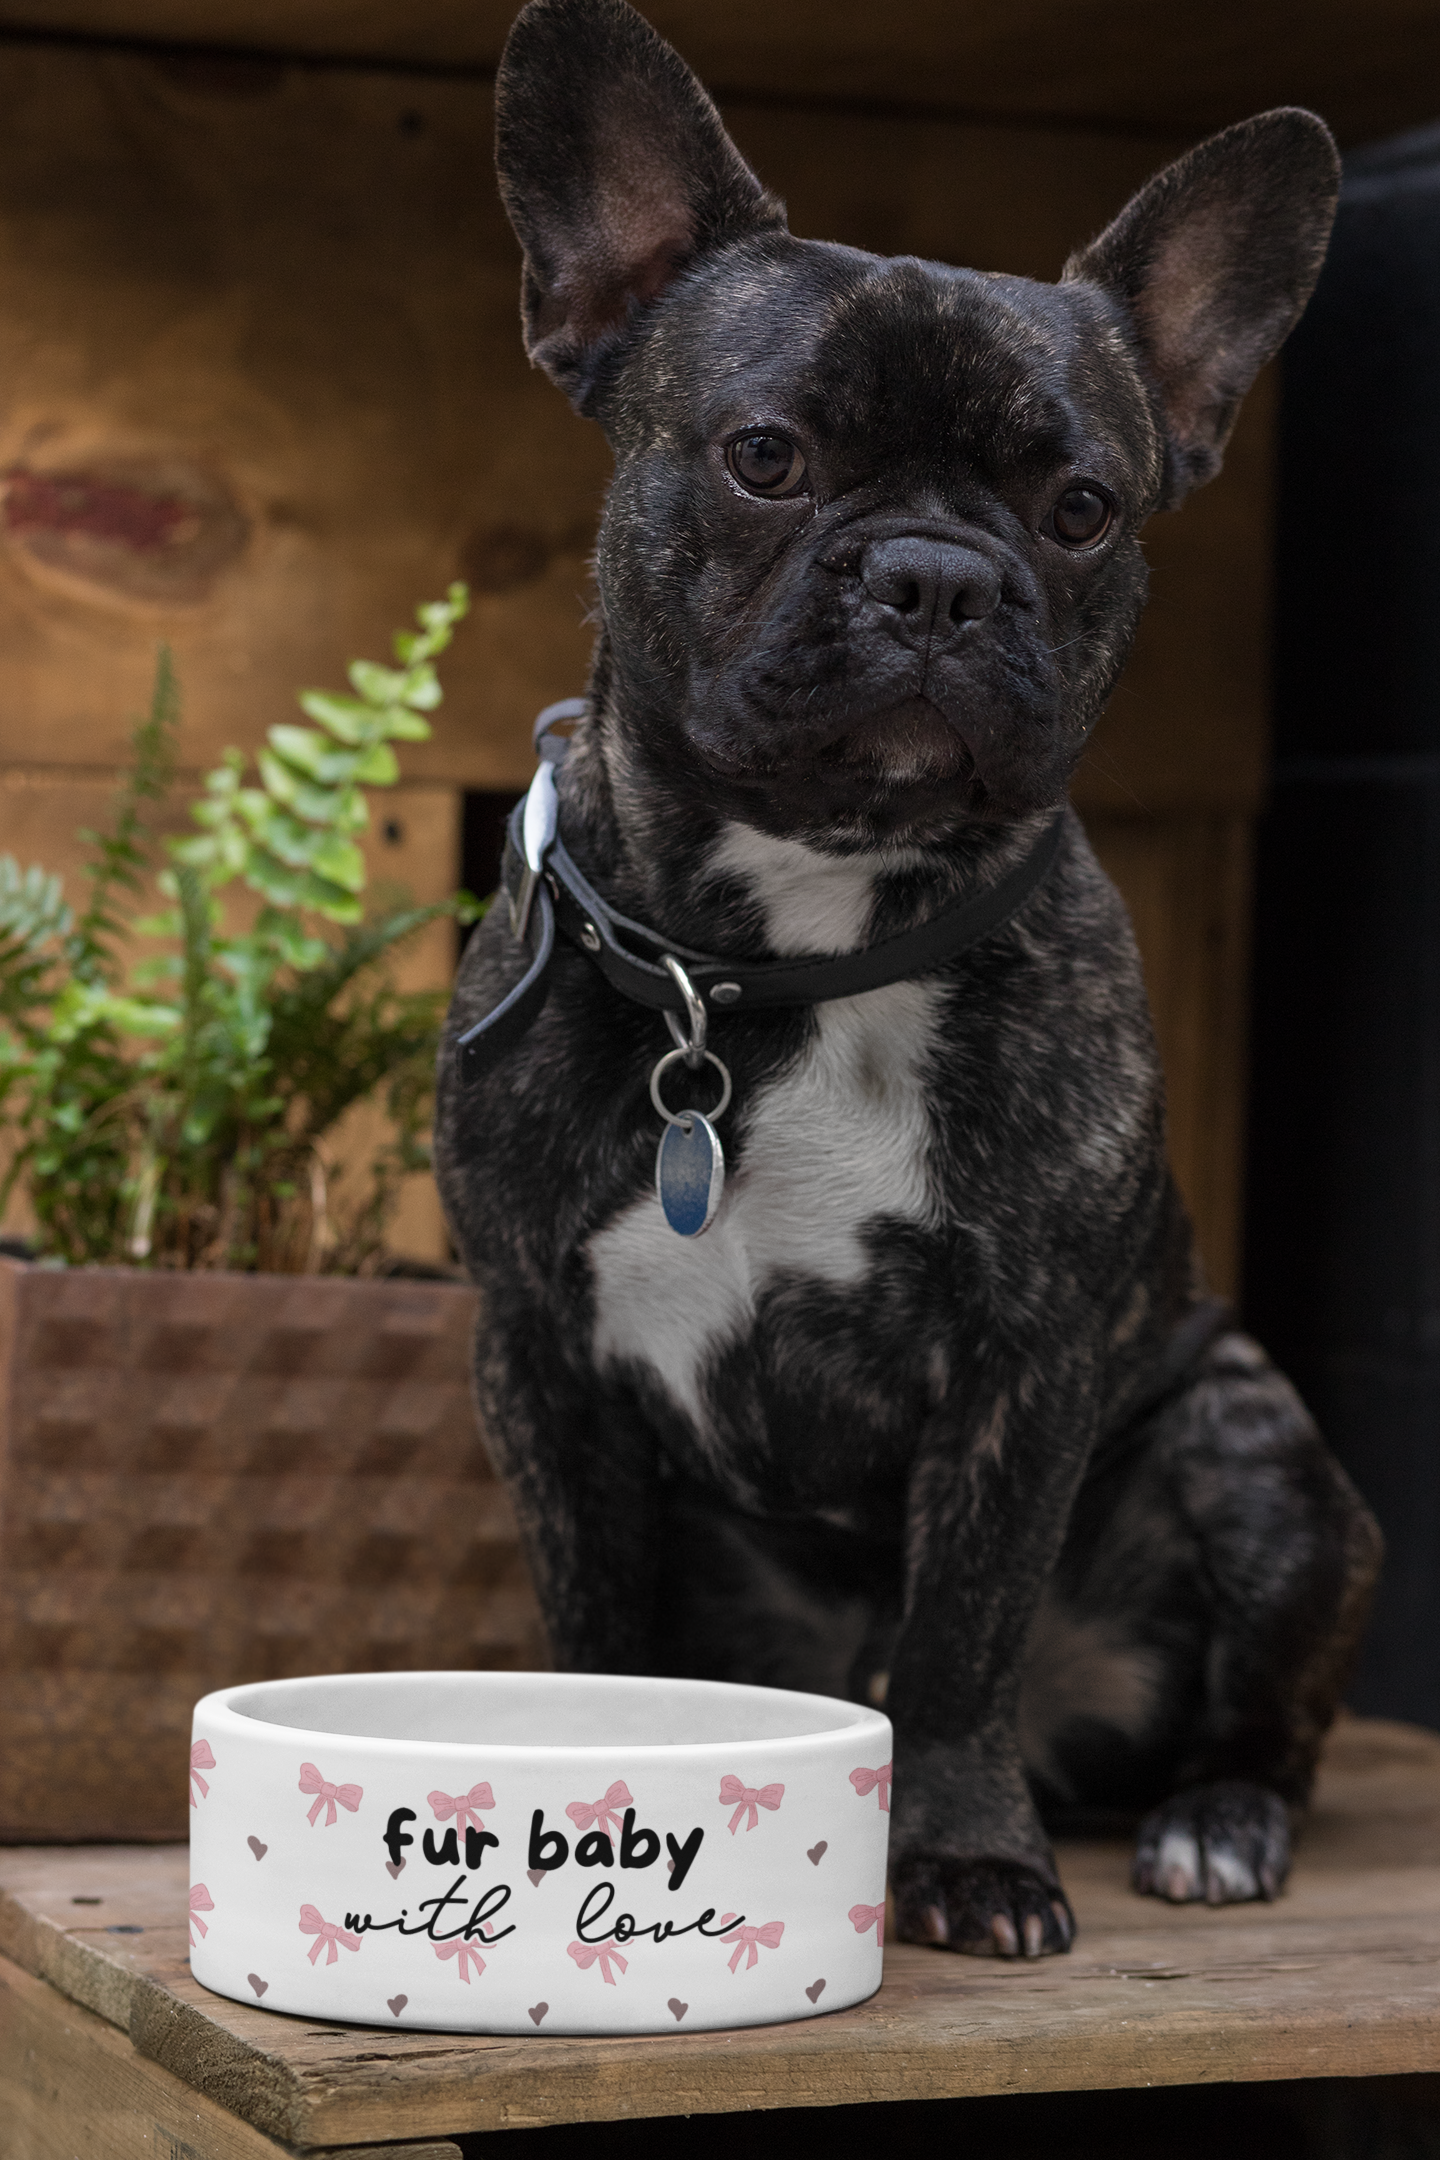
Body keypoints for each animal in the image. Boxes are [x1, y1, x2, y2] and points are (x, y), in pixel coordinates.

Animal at [440, 0, 1381, 1961]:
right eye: (768, 457)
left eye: (1085, 505)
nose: (942, 575)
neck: (788, 963)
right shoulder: (538, 1360)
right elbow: (591, 1616)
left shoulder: (1023, 1369)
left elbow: (960, 1640)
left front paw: (966, 1859)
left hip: (1260, 1455)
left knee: (1256, 1719)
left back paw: (1214, 1823)